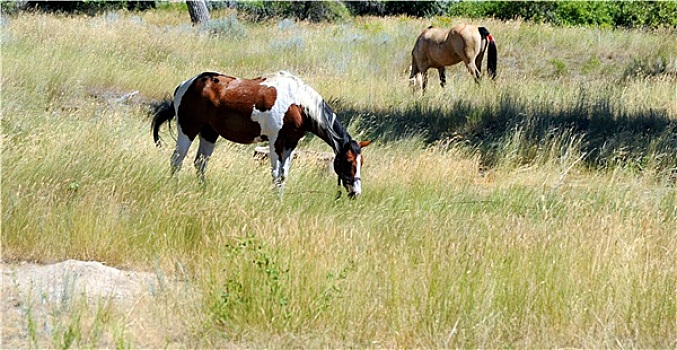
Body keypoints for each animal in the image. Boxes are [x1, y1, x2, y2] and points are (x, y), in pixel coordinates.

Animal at [151, 69, 372, 198]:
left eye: (362, 162)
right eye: (349, 162)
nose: (356, 192)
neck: (298, 104)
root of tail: (187, 84)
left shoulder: (290, 144)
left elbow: (284, 175)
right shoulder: (276, 142)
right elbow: (275, 174)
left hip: (209, 134)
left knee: (200, 163)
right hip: (187, 130)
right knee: (177, 160)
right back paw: (175, 189)